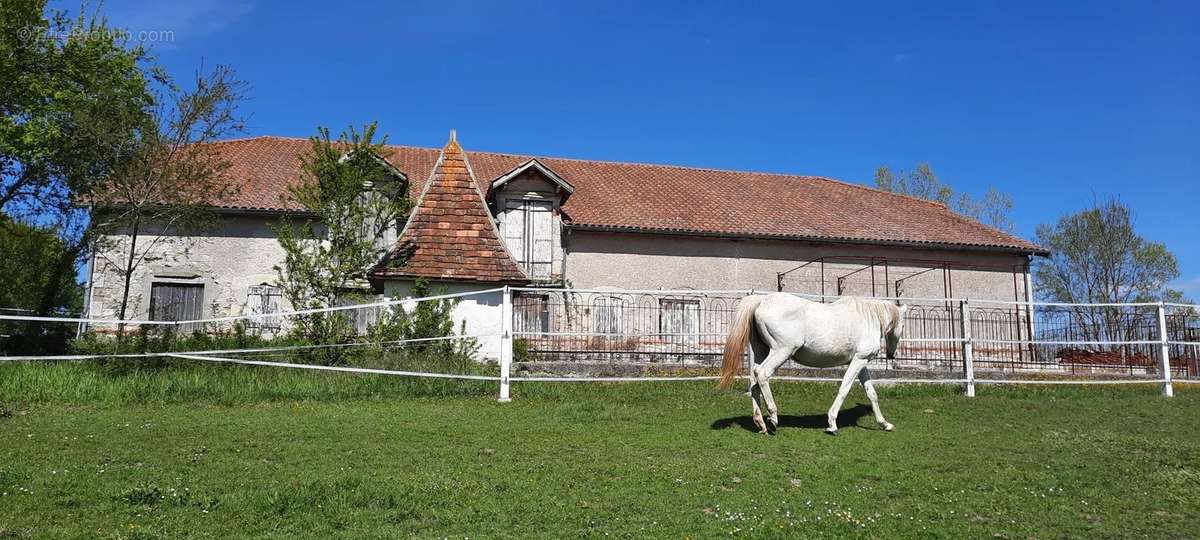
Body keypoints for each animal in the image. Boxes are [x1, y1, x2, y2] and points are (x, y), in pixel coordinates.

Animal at [715, 292, 902, 436]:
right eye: (902, 324)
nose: (891, 355)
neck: (868, 318)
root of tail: (762, 300)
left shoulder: (861, 362)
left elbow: (872, 393)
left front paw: (885, 424)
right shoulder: (859, 360)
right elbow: (844, 389)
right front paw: (832, 425)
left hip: (762, 351)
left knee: (754, 377)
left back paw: (760, 423)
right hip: (781, 351)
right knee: (762, 373)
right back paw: (773, 419)